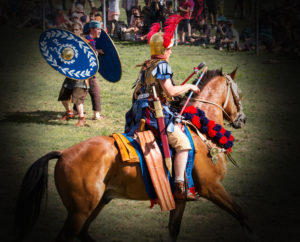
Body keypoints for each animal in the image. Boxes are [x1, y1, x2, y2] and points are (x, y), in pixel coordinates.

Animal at [14, 67, 251, 242]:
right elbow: (243, 216)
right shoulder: (213, 188)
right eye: (239, 94)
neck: (201, 132)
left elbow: (173, 230)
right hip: (79, 211)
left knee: (83, 233)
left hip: (96, 203)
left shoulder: (181, 199)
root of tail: (63, 153)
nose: (242, 119)